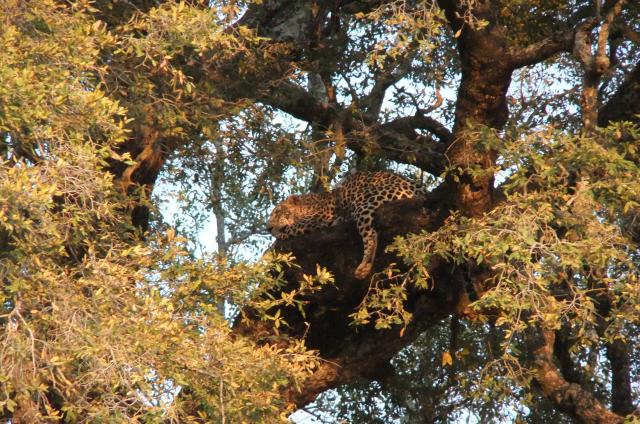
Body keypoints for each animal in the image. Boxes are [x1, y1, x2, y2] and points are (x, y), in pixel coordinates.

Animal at [267, 171, 426, 279]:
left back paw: (364, 267)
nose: (268, 228)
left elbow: (289, 230)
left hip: (364, 203)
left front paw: (270, 248)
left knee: (371, 235)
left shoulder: (318, 219)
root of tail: (419, 188)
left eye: (278, 212)